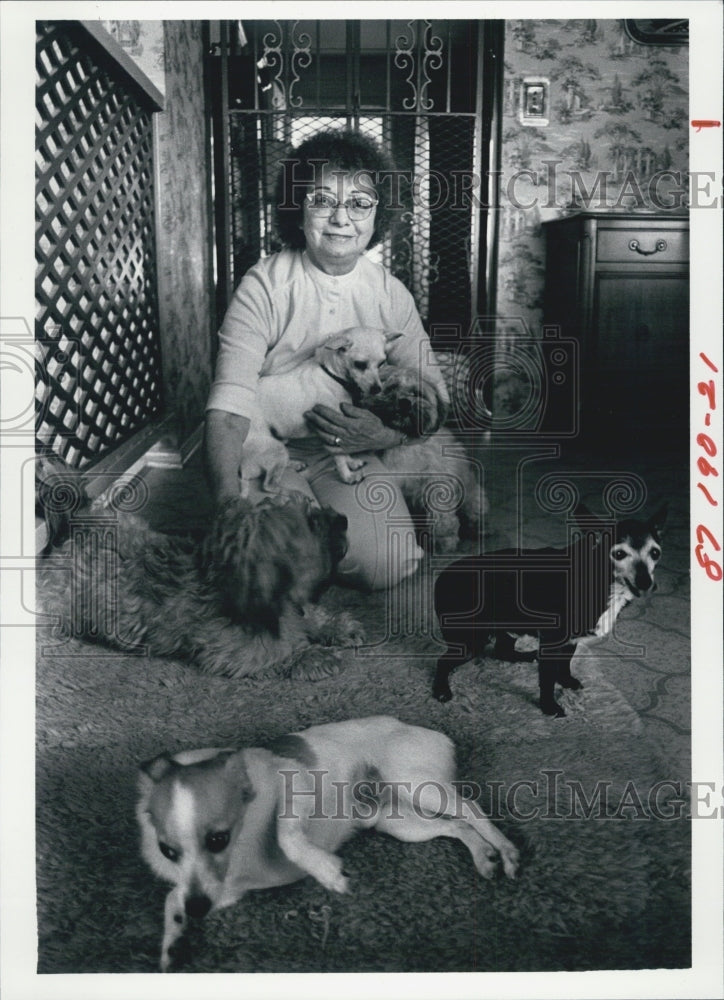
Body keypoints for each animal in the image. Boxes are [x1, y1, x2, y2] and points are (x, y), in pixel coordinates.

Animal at [137, 716, 520, 972]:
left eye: (218, 839)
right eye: (168, 851)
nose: (197, 910)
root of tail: (428, 731)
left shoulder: (298, 784)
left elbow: (287, 835)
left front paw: (326, 871)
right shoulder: (222, 891)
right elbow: (174, 897)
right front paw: (173, 940)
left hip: (416, 785)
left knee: (471, 809)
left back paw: (505, 850)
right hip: (400, 822)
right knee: (457, 826)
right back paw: (483, 856)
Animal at [242, 328, 402, 496]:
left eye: (381, 363)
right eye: (360, 364)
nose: (377, 389)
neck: (331, 375)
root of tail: (242, 471)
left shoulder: (342, 429)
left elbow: (344, 451)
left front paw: (351, 463)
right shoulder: (332, 432)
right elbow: (339, 458)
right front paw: (347, 476)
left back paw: (294, 464)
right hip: (274, 448)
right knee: (268, 485)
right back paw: (293, 492)